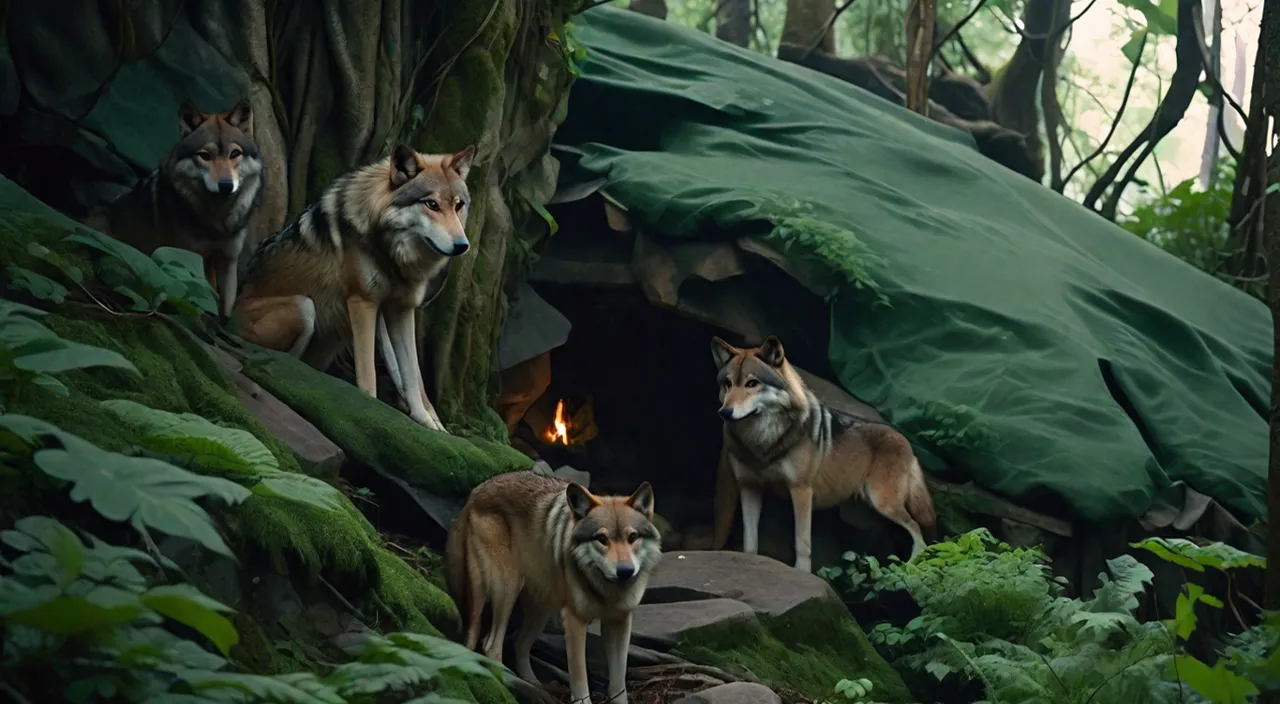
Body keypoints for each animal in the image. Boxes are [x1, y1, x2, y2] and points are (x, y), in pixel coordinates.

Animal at [96, 97, 264, 318]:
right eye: (205, 156)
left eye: (235, 153)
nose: (226, 185)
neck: (216, 222)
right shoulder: (186, 257)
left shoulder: (228, 260)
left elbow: (226, 308)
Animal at [231, 142, 476, 432]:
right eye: (432, 204)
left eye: (458, 205)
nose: (462, 245)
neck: (394, 256)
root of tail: (227, 316)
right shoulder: (363, 303)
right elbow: (368, 373)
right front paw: (368, 411)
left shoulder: (401, 309)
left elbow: (412, 373)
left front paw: (426, 420)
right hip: (305, 308)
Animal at [448, 471, 665, 704]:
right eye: (601, 538)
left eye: (632, 537)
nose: (625, 571)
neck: (606, 590)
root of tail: (475, 491)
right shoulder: (574, 621)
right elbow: (579, 680)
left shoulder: (620, 622)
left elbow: (618, 682)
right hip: (506, 589)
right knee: (490, 645)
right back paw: (510, 690)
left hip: (541, 609)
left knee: (518, 643)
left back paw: (536, 687)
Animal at [706, 337, 936, 573]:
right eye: (728, 384)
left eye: (752, 383)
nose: (725, 412)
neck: (762, 442)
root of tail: (906, 440)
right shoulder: (749, 486)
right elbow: (750, 541)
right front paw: (749, 562)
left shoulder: (801, 490)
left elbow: (802, 542)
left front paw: (802, 573)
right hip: (865, 513)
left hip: (883, 503)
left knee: (916, 527)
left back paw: (910, 565)